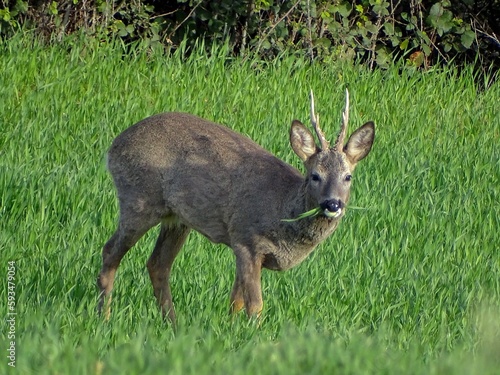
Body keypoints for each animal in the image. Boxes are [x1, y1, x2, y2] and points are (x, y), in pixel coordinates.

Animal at [96, 90, 376, 324]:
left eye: (348, 177)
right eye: (315, 175)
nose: (332, 203)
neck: (282, 209)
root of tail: (113, 147)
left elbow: (236, 302)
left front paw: (231, 331)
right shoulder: (245, 239)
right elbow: (255, 305)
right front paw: (256, 337)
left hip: (176, 219)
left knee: (158, 264)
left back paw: (173, 324)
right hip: (138, 200)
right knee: (110, 250)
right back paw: (104, 318)